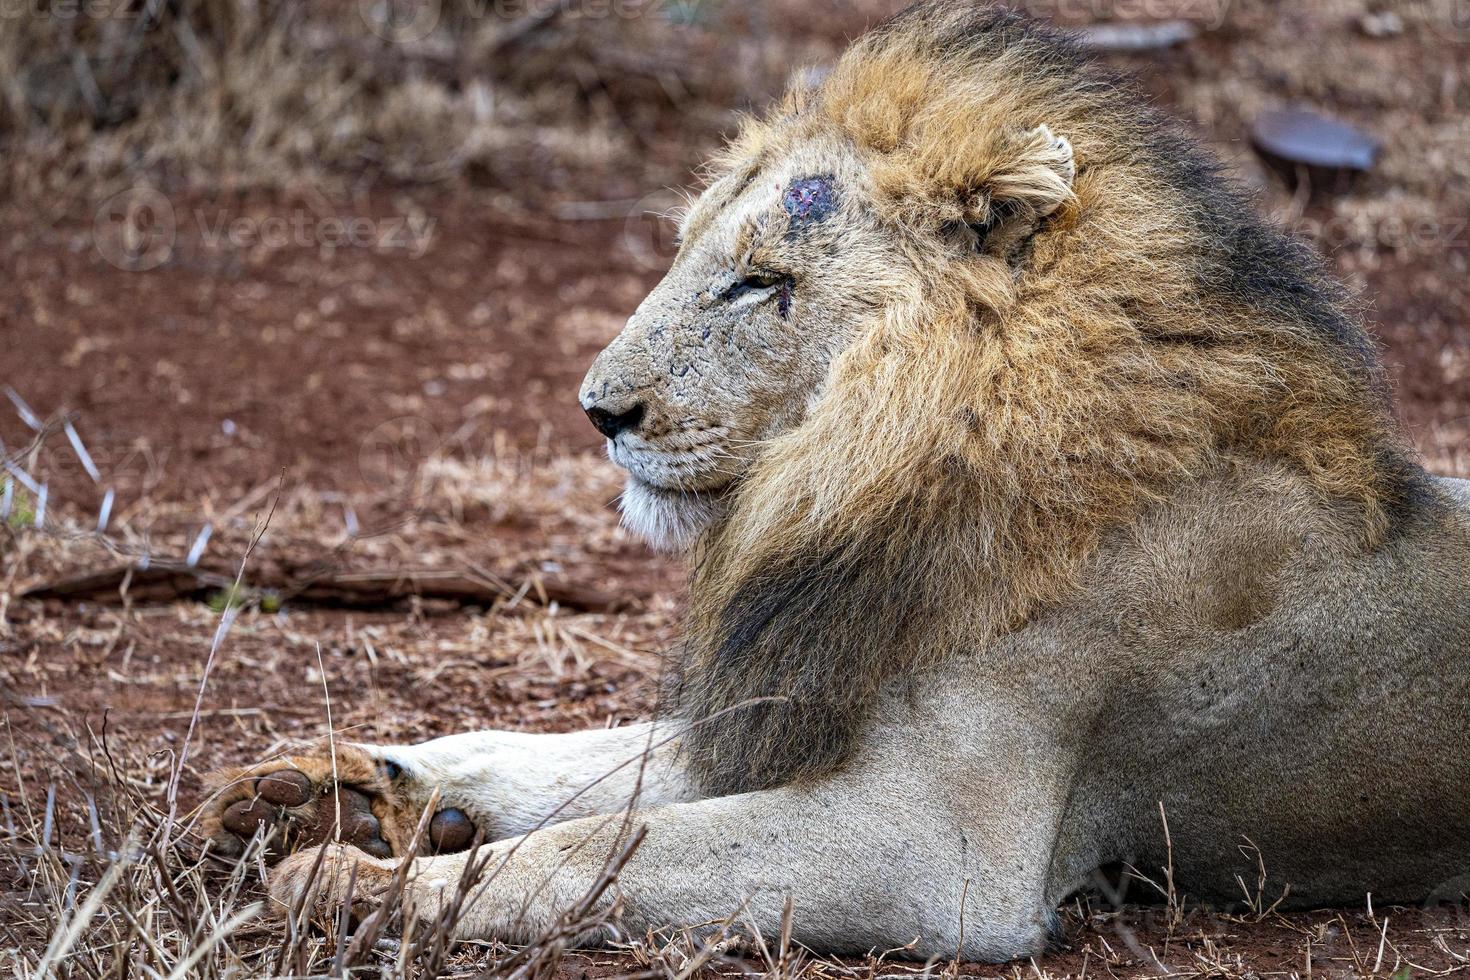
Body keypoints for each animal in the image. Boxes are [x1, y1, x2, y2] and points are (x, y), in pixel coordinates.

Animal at [198, 0, 1470, 963]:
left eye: (760, 281)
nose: (598, 412)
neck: (872, 474)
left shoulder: (944, 852)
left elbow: (592, 846)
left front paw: (358, 879)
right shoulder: (796, 703)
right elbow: (559, 759)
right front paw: (325, 788)